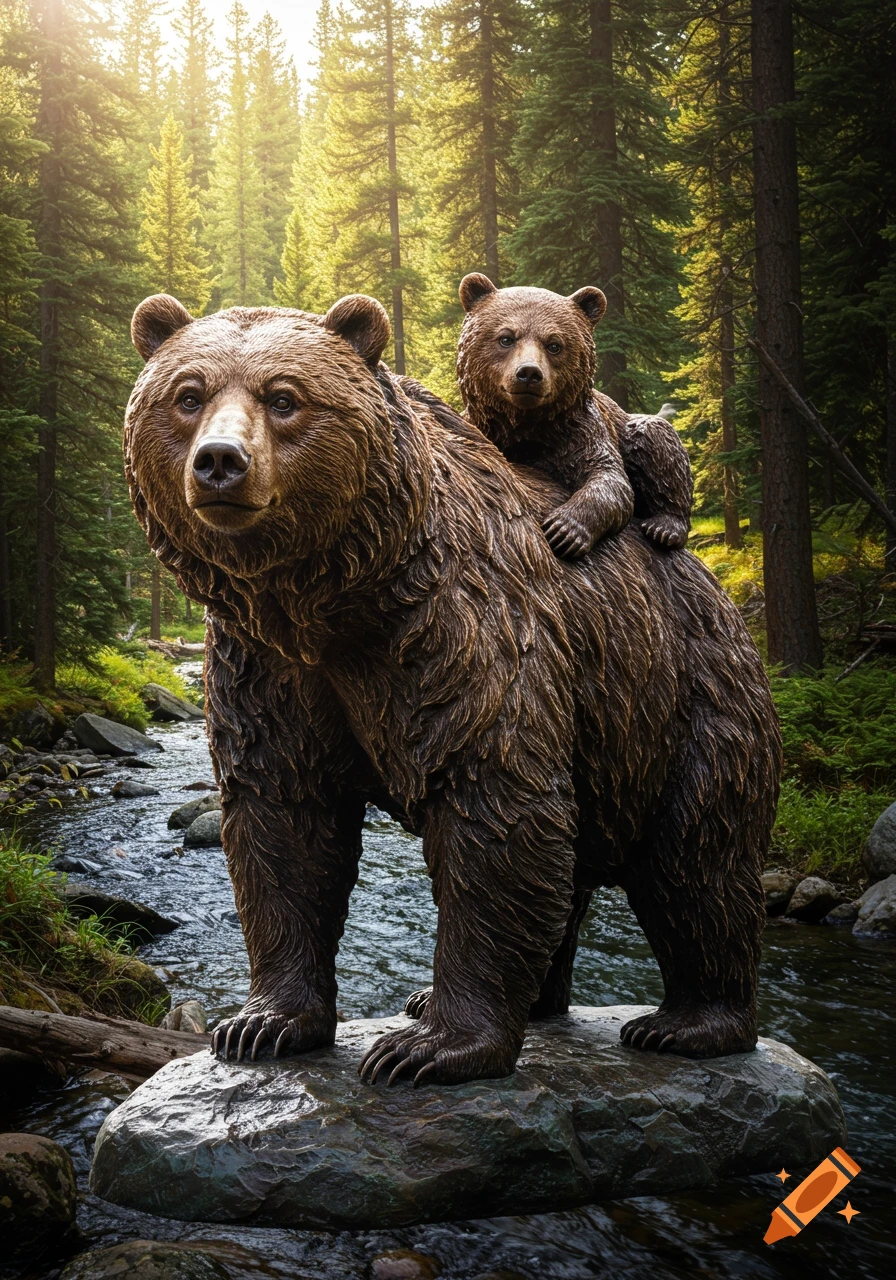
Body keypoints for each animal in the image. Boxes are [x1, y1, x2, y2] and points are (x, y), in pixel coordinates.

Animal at [455, 273, 693, 557]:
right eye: (506, 338)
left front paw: (564, 529)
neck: (525, 426)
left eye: (554, 344)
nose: (529, 373)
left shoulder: (580, 432)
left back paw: (666, 527)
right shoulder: (482, 426)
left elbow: (611, 481)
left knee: (657, 441)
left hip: (631, 430)